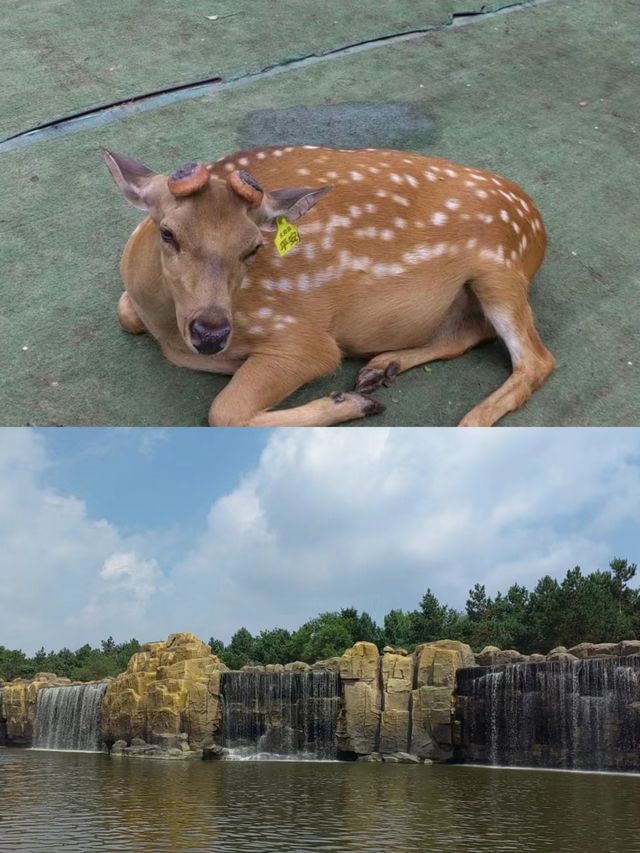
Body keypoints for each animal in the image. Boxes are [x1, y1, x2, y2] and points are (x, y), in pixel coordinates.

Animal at [102, 147, 552, 430]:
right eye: (168, 233)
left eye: (253, 248)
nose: (211, 334)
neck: (166, 326)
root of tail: (538, 223)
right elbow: (124, 313)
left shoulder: (300, 337)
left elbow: (224, 412)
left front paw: (348, 403)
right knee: (471, 331)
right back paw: (380, 368)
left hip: (499, 270)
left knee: (536, 359)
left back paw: (464, 422)